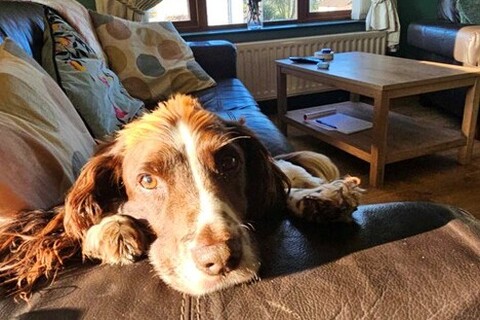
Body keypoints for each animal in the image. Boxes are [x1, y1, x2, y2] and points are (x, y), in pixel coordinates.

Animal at [0, 94, 362, 298]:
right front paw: (110, 229)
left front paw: (320, 195)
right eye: (147, 180)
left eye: (230, 162)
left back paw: (322, 195)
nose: (220, 260)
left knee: (290, 173)